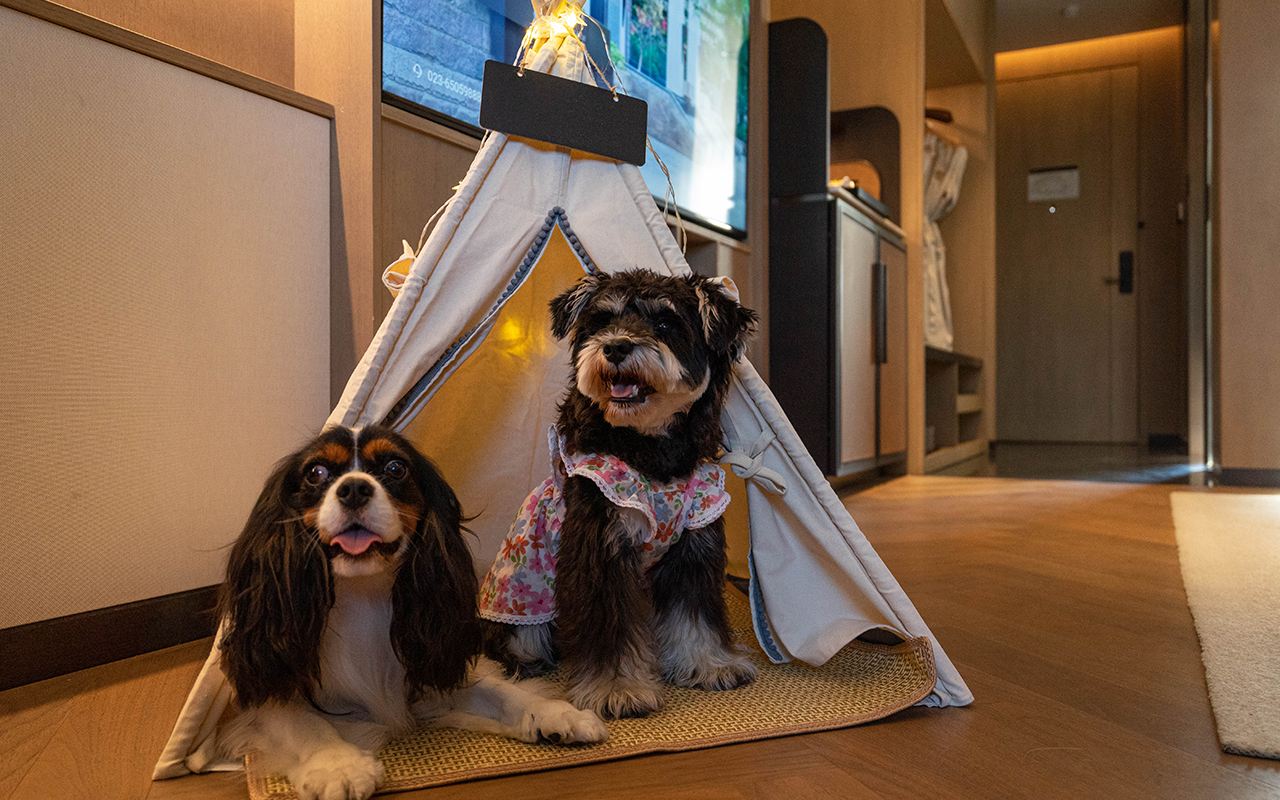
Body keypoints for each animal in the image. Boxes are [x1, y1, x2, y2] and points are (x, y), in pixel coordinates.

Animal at [216, 426, 606, 800]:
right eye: (316, 472)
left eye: (395, 468)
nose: (354, 488)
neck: (363, 593)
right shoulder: (264, 693)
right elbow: (306, 723)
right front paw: (339, 765)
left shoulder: (430, 665)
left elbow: (500, 692)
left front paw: (555, 712)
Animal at [479, 269, 759, 719]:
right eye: (601, 322)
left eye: (665, 323)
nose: (615, 346)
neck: (648, 450)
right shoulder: (603, 549)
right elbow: (607, 627)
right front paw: (617, 690)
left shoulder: (693, 546)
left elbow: (695, 616)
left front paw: (709, 665)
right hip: (520, 612)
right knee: (518, 645)